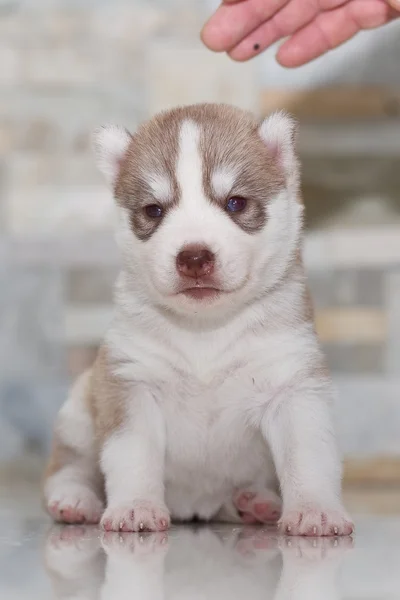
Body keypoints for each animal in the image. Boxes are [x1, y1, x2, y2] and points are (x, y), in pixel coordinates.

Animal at [43, 102, 354, 536]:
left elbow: (307, 456)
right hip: (80, 407)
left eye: (235, 203)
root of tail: (195, 506)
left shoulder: (293, 387)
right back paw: (74, 499)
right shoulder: (131, 385)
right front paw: (136, 506)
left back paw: (256, 503)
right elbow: (132, 455)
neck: (205, 331)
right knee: (70, 465)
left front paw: (314, 509)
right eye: (154, 210)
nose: (193, 257)